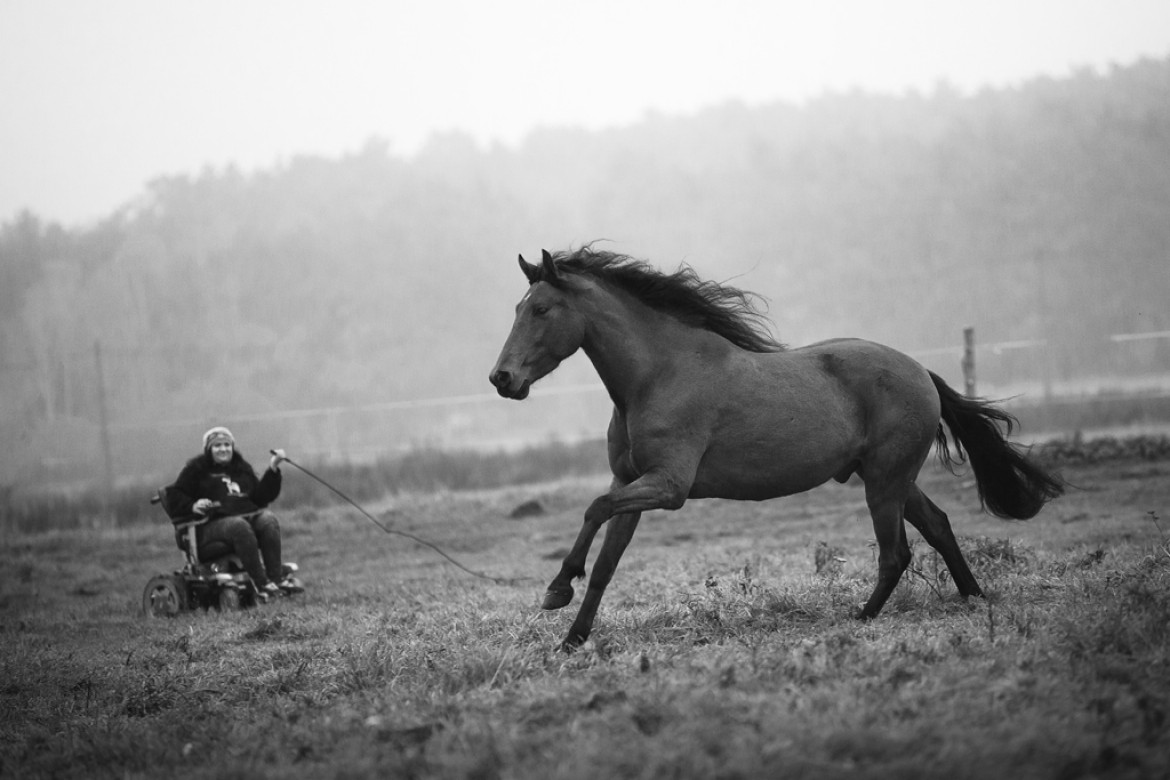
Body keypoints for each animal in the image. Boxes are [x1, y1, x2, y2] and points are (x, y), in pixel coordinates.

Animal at [489, 246, 1067, 650]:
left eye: (542, 309)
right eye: (517, 307)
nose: (501, 378)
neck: (657, 376)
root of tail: (920, 371)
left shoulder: (667, 487)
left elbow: (593, 509)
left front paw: (556, 588)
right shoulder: (630, 482)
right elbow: (606, 561)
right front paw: (571, 639)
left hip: (884, 480)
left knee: (896, 552)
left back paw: (860, 618)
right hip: (889, 476)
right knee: (939, 527)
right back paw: (974, 598)